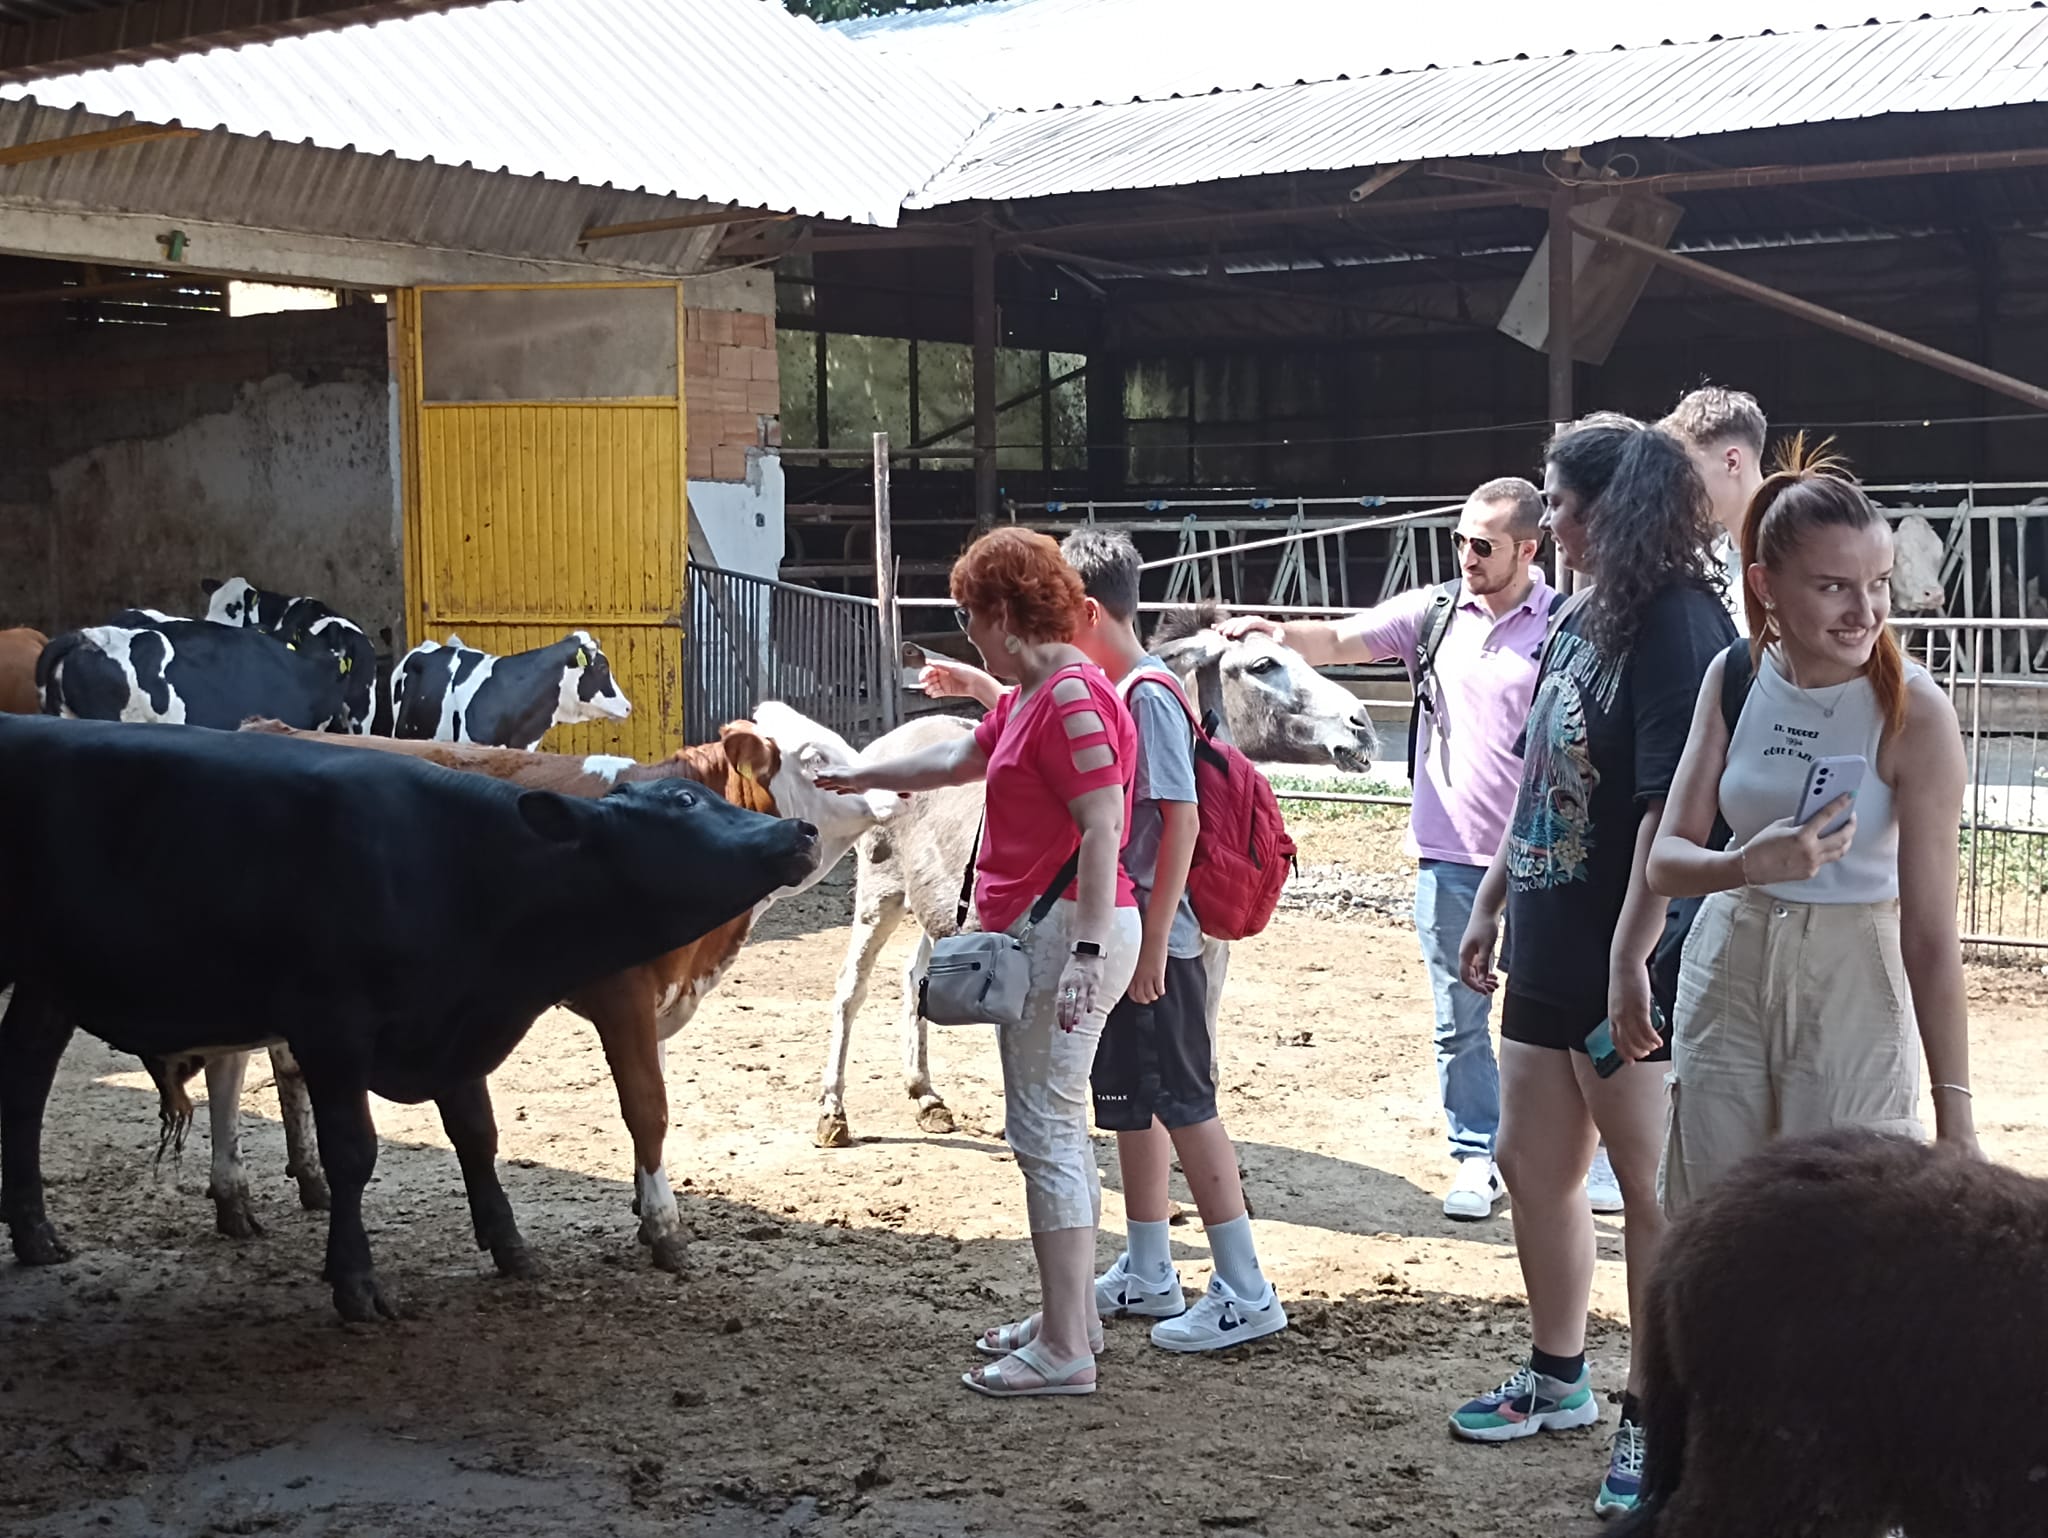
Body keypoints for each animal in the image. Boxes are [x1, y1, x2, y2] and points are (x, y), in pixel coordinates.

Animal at [0, 714, 818, 1319]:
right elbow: (355, 1152)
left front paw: (511, 1247)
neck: (452, 860)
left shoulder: (461, 1017)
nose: (800, 833)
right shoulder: (333, 1026)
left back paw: (36, 1232)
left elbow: (478, 1136)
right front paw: (355, 1281)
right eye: (683, 805)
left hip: (46, 986)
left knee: (26, 1084)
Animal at [176, 709, 892, 1270]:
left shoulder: (659, 998)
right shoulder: (623, 997)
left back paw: (309, 1181)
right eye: (816, 756)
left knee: (281, 1066)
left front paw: (646, 1206)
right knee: (226, 1071)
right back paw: (232, 1191)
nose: (891, 796)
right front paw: (664, 1230)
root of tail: (262, 728)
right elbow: (648, 1108)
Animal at [814, 607, 1380, 1147]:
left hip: (940, 909)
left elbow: (1203, 1069)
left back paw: (926, 1096)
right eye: (1263, 665)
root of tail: (886, 743)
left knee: (916, 979)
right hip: (881, 896)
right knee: (850, 989)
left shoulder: (1208, 962)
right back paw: (833, 1112)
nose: (1363, 727)